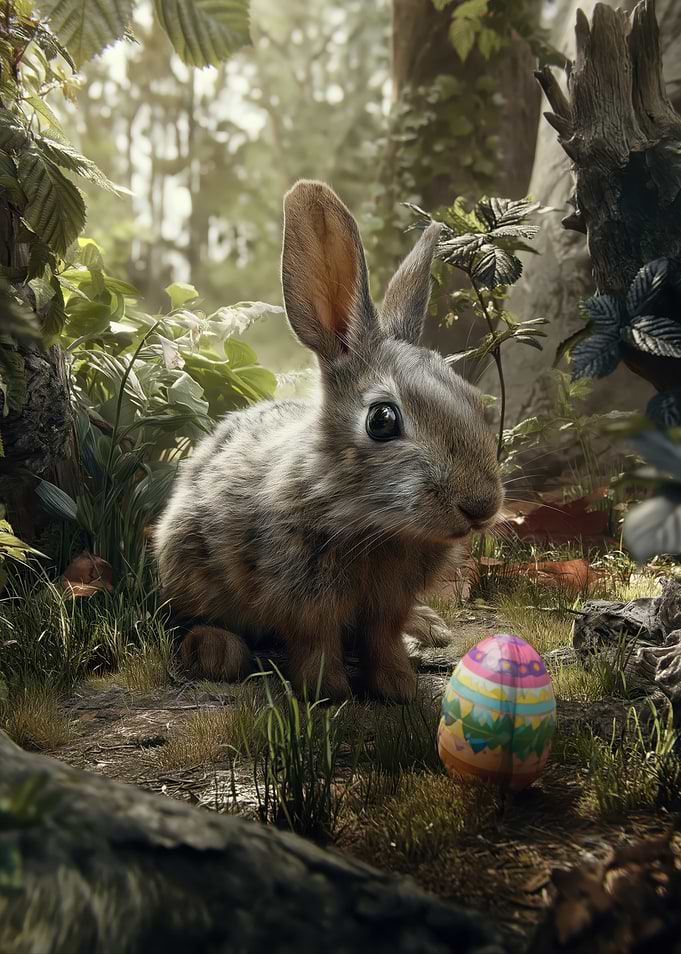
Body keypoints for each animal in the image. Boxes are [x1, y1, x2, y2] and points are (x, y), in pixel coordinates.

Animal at [154, 180, 503, 702]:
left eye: (476, 401)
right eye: (382, 420)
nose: (482, 506)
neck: (376, 525)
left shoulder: (387, 602)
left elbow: (383, 635)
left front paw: (398, 685)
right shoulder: (302, 594)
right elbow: (315, 638)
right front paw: (327, 691)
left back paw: (429, 627)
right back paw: (216, 650)